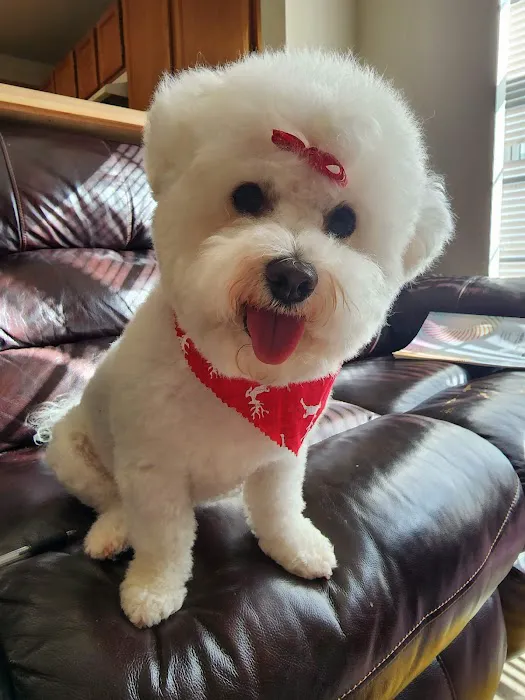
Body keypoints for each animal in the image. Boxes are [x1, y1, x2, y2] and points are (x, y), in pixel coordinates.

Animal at [31, 49, 453, 628]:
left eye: (345, 221)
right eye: (247, 196)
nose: (293, 277)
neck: (242, 373)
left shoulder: (282, 456)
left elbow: (279, 508)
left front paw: (294, 546)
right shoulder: (152, 470)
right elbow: (163, 540)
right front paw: (153, 589)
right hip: (74, 454)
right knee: (110, 498)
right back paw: (112, 531)